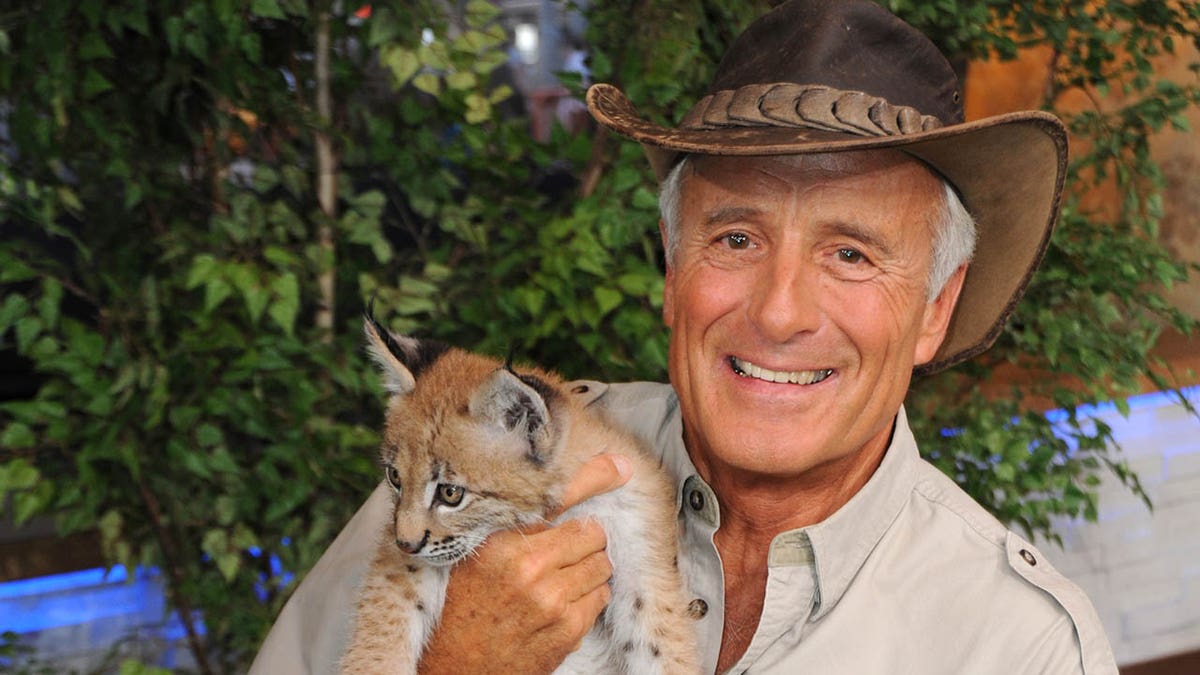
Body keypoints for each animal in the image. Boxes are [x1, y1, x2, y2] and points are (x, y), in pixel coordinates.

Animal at [338, 312, 700, 667]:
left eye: (450, 494)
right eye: (395, 478)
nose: (406, 544)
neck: (553, 512)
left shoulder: (643, 564)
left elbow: (661, 649)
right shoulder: (398, 562)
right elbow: (378, 641)